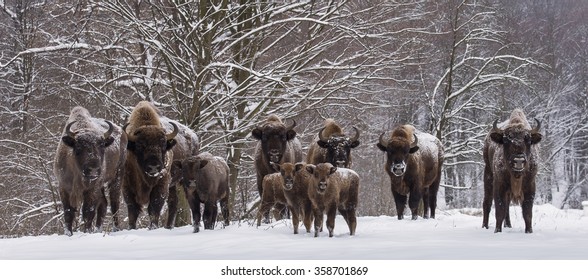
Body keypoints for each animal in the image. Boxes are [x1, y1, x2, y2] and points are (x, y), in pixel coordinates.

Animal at [53, 107, 127, 236]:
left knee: (114, 203)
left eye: (102, 146)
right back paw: (98, 229)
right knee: (104, 204)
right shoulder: (64, 187)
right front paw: (68, 234)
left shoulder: (92, 189)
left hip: (117, 177)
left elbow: (88, 212)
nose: (93, 170)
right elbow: (68, 212)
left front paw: (87, 232)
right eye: (78, 147)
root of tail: (123, 133)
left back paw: (115, 229)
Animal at [121, 100, 179, 230]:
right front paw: (131, 228)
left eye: (163, 144)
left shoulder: (161, 185)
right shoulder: (127, 186)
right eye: (140, 145)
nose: (153, 167)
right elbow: (132, 210)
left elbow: (154, 208)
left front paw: (153, 227)